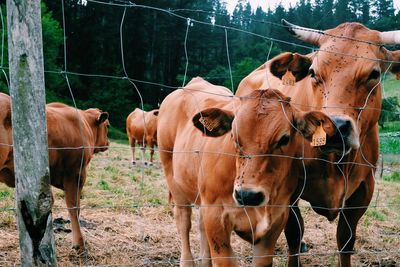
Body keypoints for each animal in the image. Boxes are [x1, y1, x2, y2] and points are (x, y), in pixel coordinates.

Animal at [0, 97, 109, 252]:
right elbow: (74, 207)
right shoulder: (76, 173)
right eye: (108, 126)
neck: (85, 124)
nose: (108, 143)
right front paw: (79, 243)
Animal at [156, 77, 334, 267]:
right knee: (183, 221)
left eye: (284, 139)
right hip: (173, 179)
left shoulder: (276, 222)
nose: (248, 195)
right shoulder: (215, 216)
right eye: (233, 136)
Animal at [236, 19, 400, 266]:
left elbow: (346, 240)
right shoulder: (289, 187)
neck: (337, 163)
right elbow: (294, 234)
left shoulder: (364, 190)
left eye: (374, 73)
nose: (335, 128)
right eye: (313, 73)